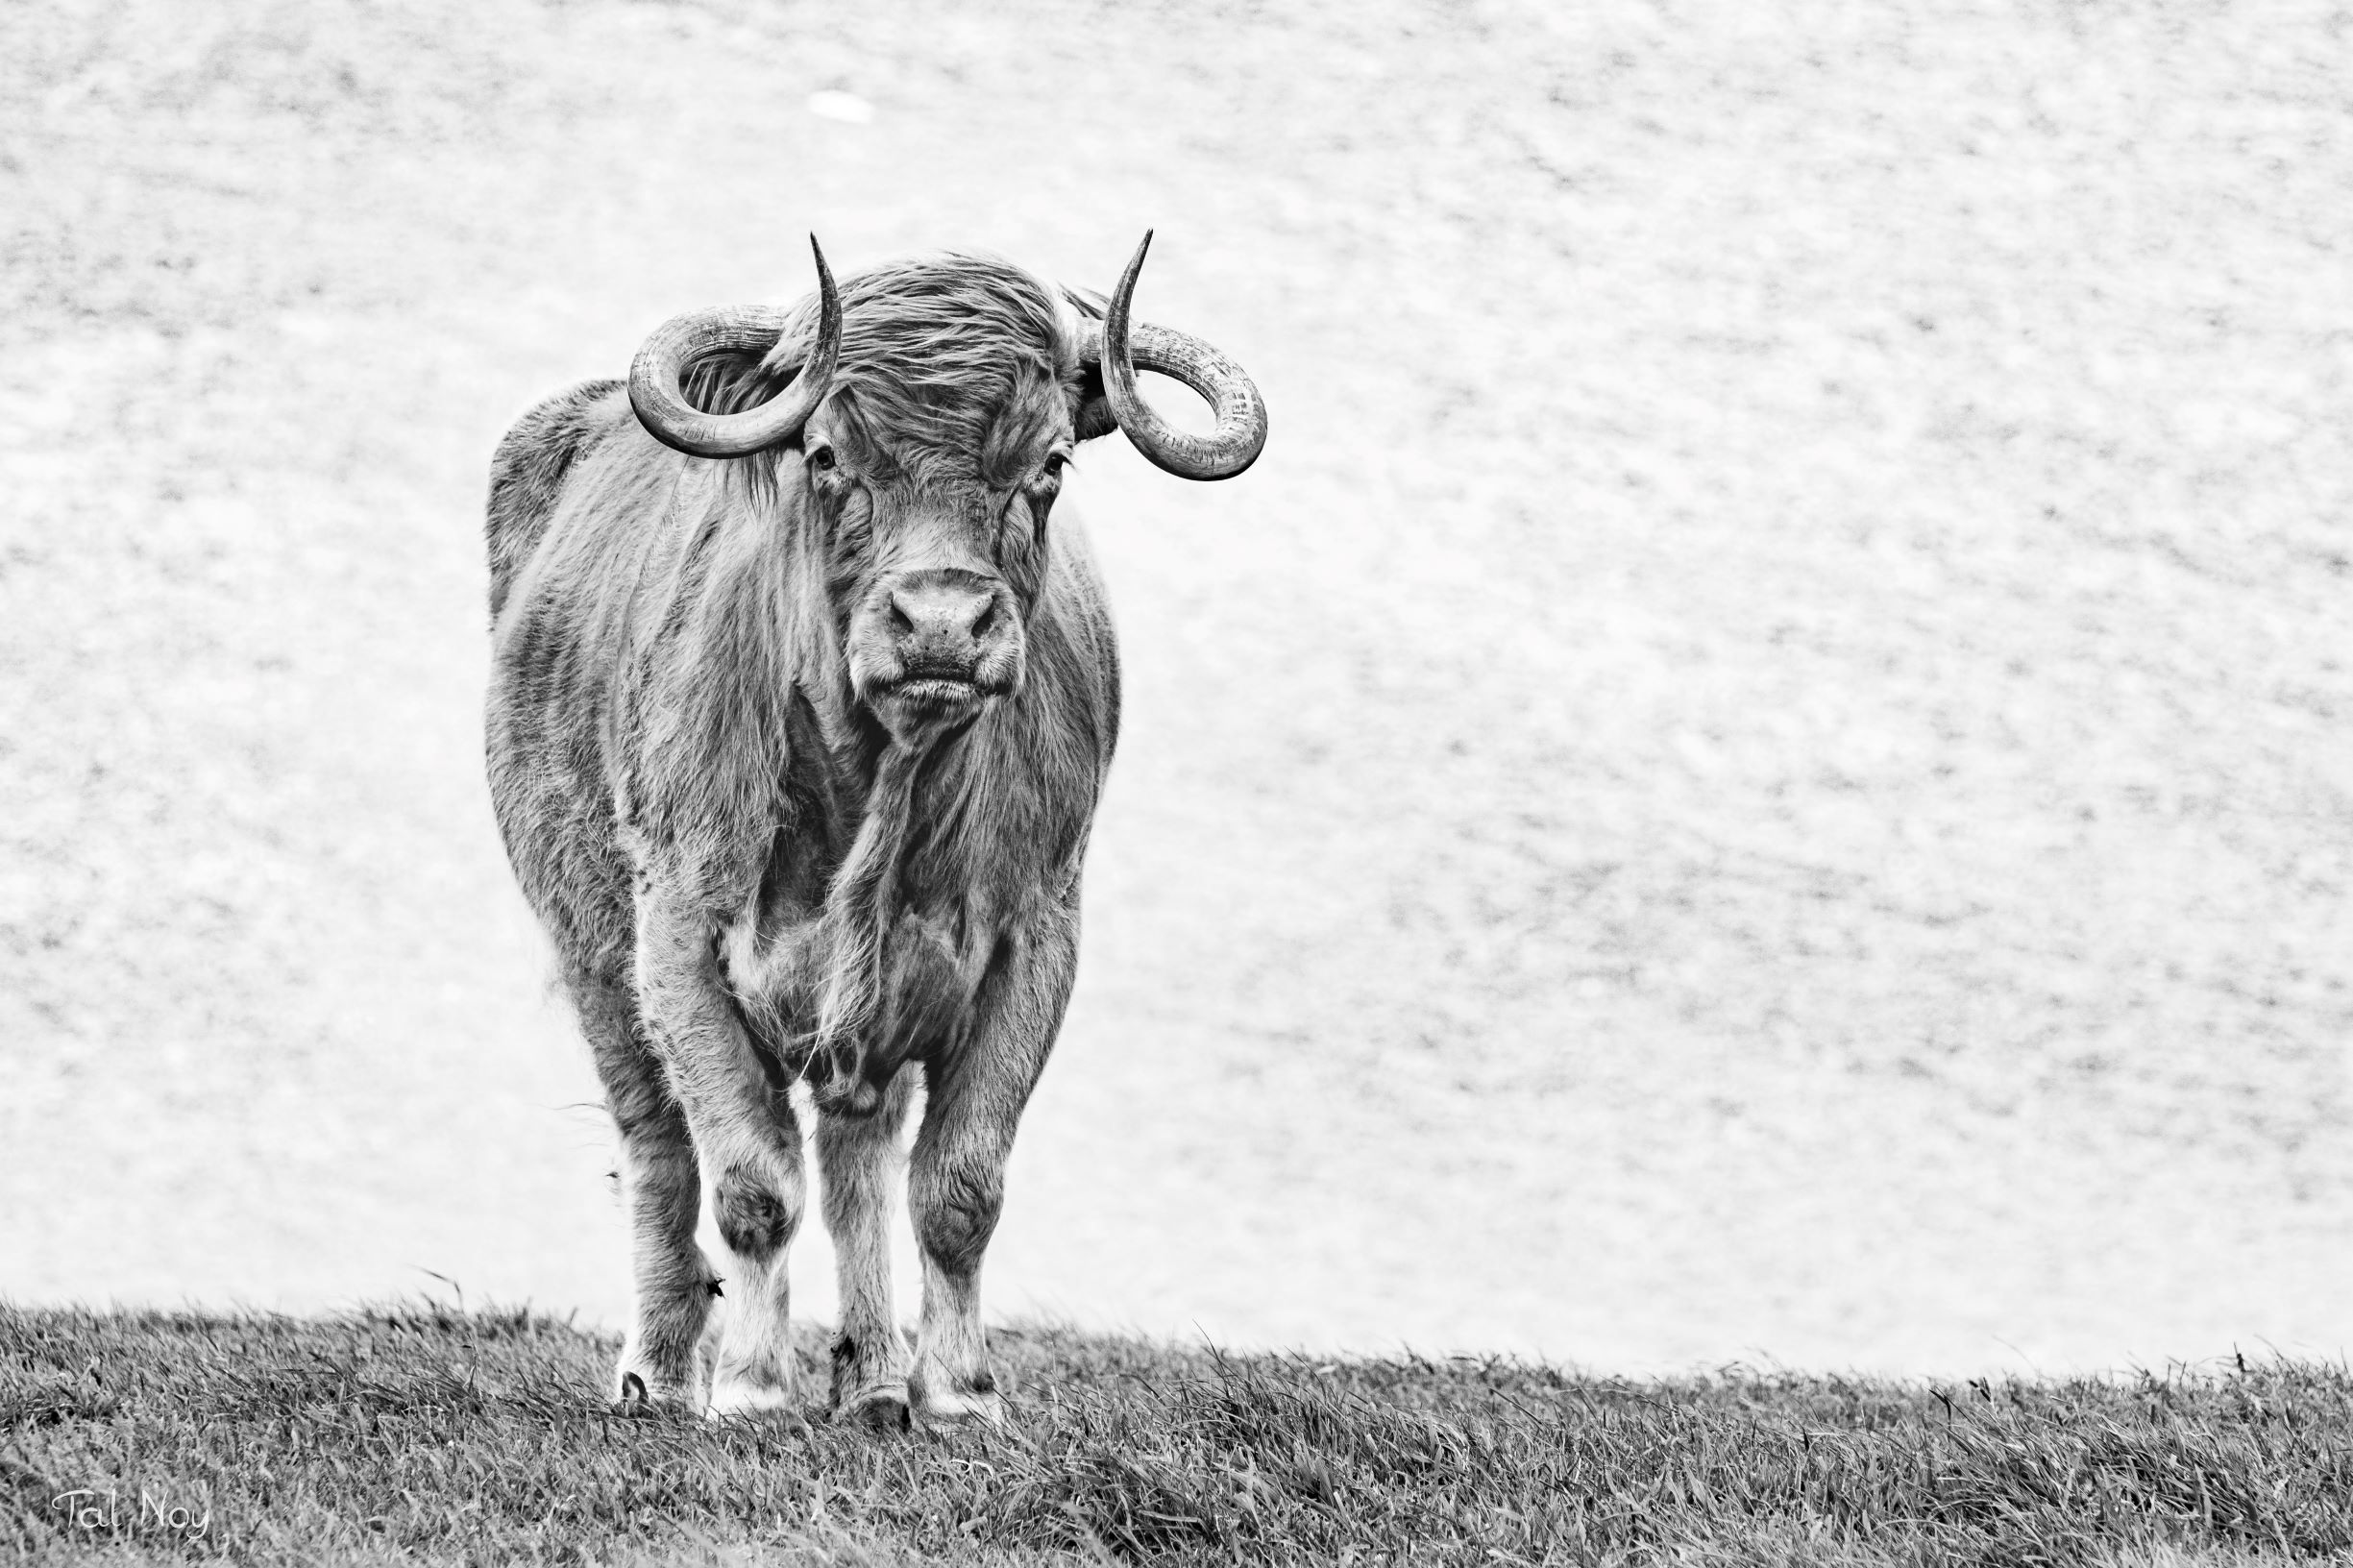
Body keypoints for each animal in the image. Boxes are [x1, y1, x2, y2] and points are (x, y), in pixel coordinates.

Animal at [481, 235, 1265, 1430]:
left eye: (1047, 463)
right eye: (823, 456)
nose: (941, 622)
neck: (879, 792)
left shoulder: (1035, 942)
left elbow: (958, 1187)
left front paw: (958, 1393)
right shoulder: (679, 939)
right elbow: (751, 1181)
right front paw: (755, 1383)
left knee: (857, 1156)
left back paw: (872, 1377)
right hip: (590, 950)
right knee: (658, 1148)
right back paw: (661, 1372)